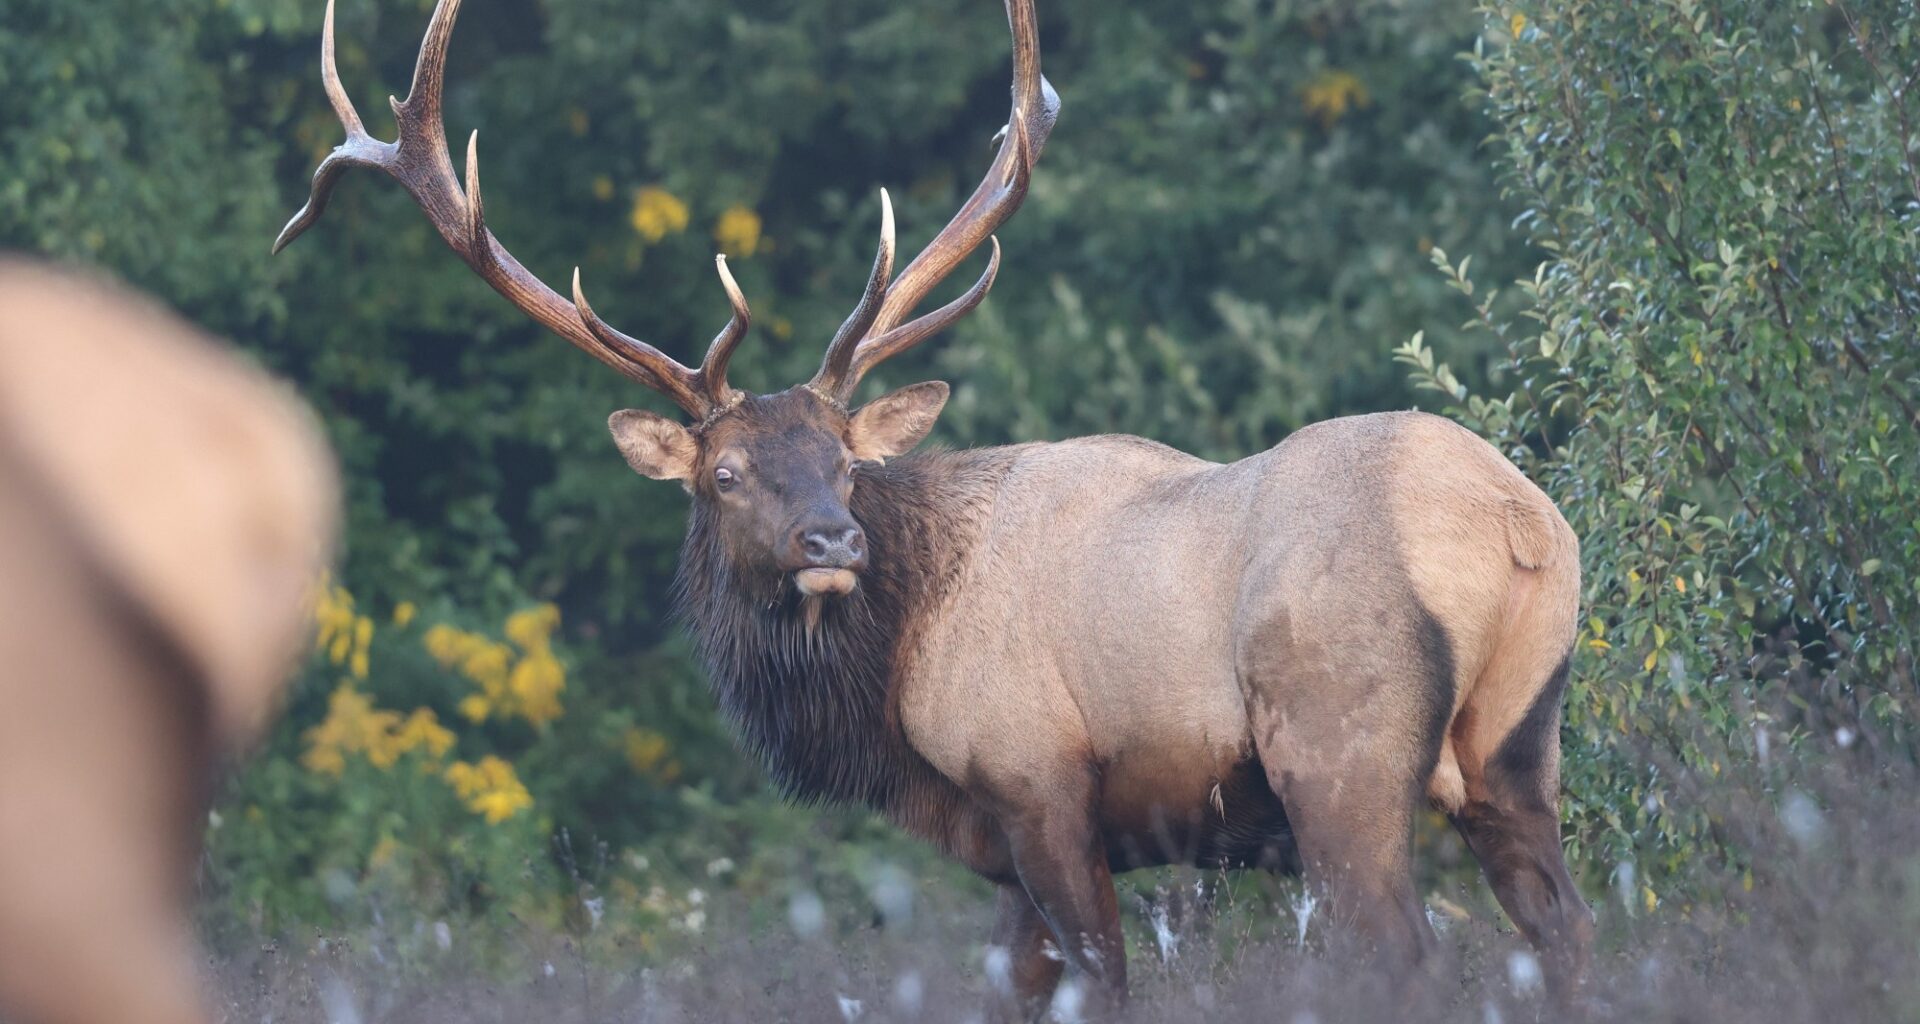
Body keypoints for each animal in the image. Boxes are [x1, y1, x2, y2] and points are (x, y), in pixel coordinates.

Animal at [276, 0, 1594, 1014]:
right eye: (725, 474)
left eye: (847, 461)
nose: (831, 539)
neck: (889, 706)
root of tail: (1518, 525)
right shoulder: (1014, 855)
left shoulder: (1038, 783)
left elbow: (1105, 984)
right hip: (1519, 745)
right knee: (1567, 936)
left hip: (1339, 741)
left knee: (1408, 954)